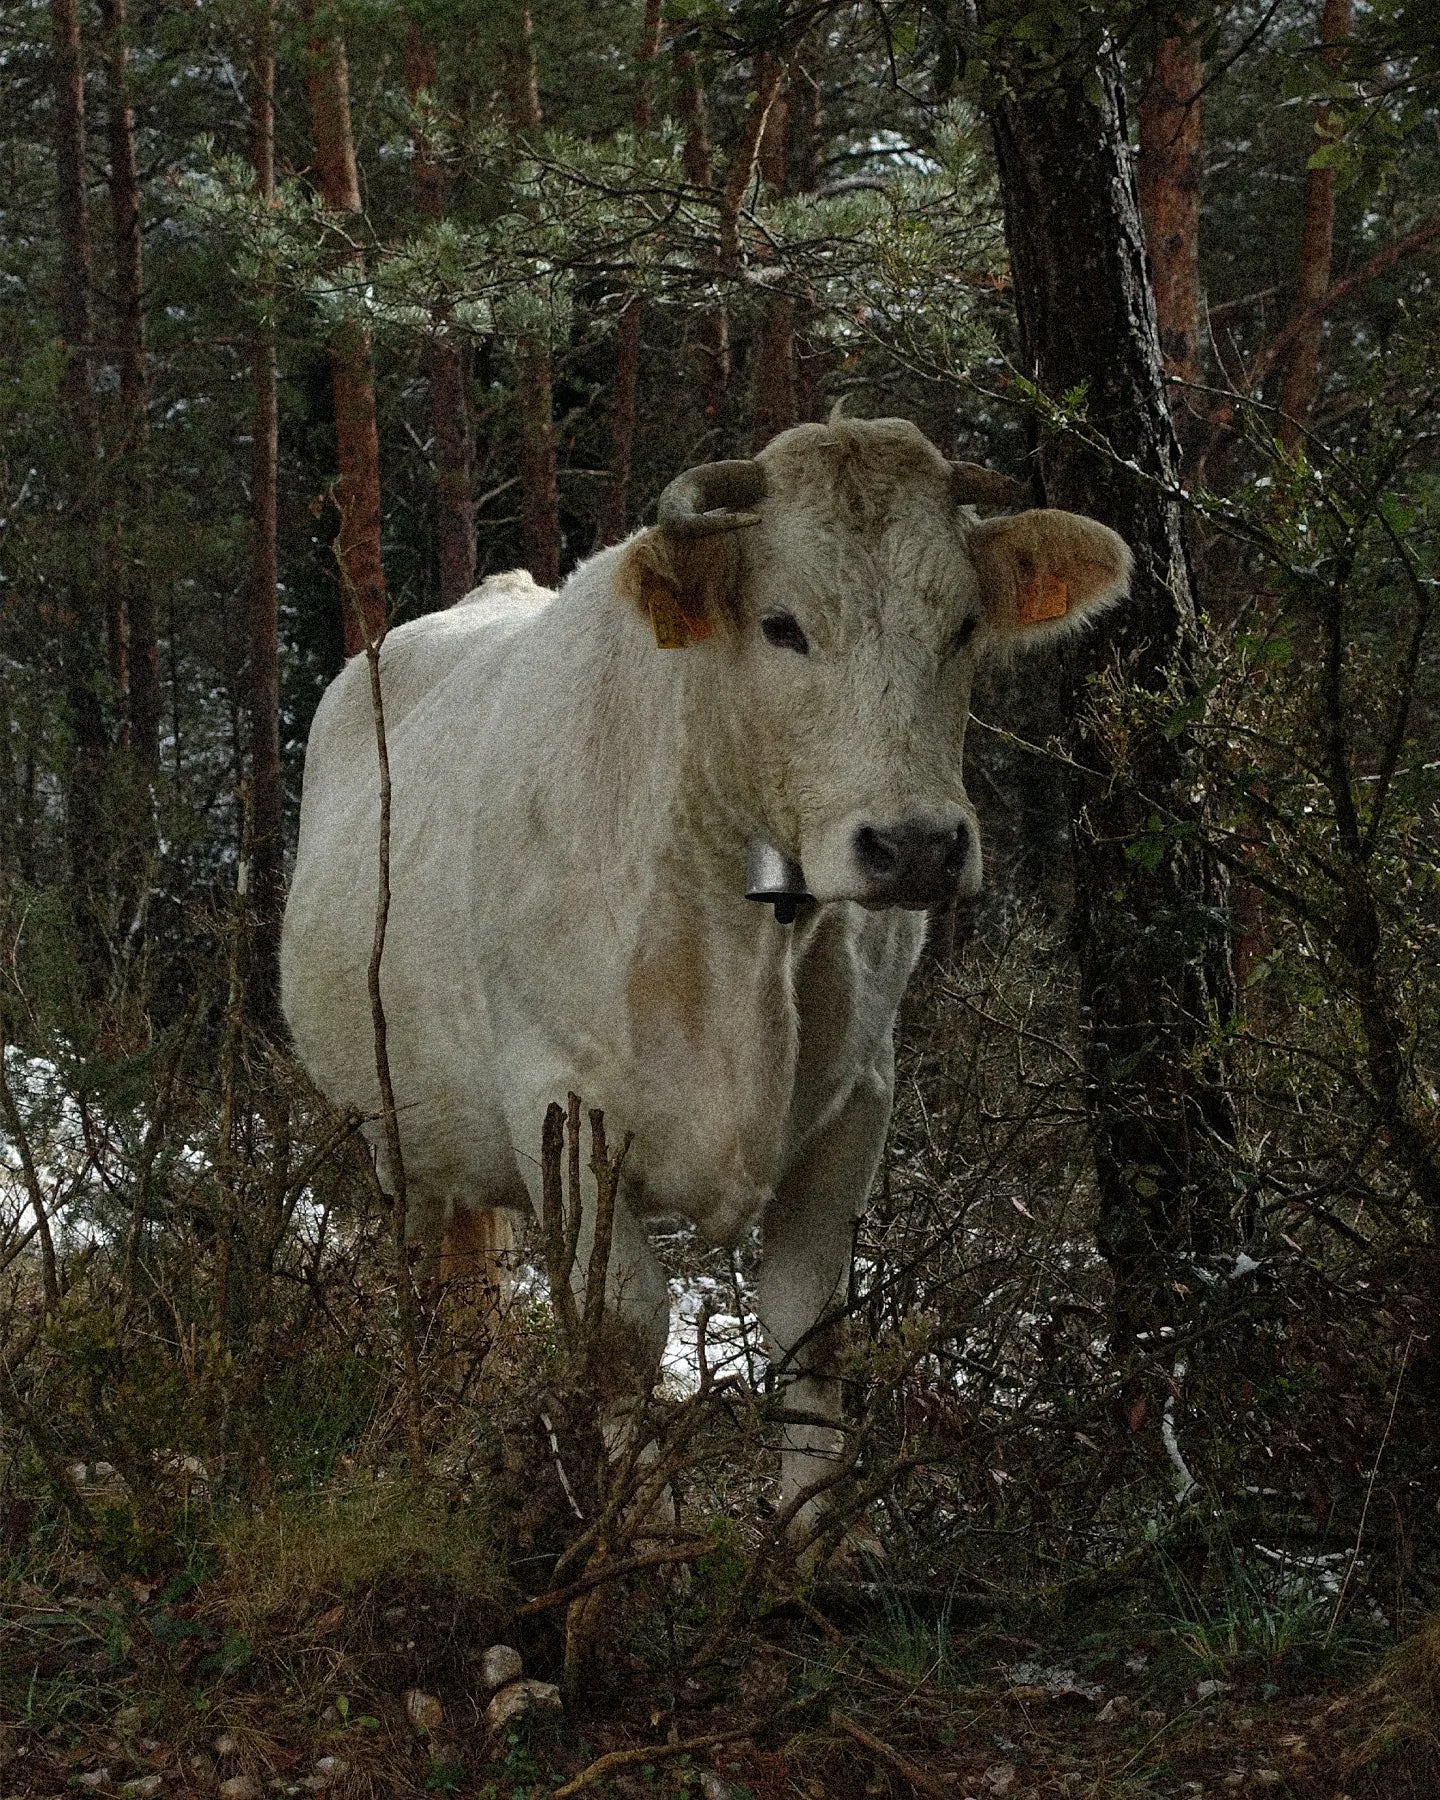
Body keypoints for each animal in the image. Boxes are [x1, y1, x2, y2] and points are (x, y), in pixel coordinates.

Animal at [280, 414, 1130, 1539]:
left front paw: (815, 1534)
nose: (916, 846)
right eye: (781, 625)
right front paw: (641, 1529)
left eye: (960, 625)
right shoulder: (560, 1100)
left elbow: (812, 1319)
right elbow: (621, 1331)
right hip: (386, 1129)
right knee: (418, 1276)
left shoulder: (859, 1097)